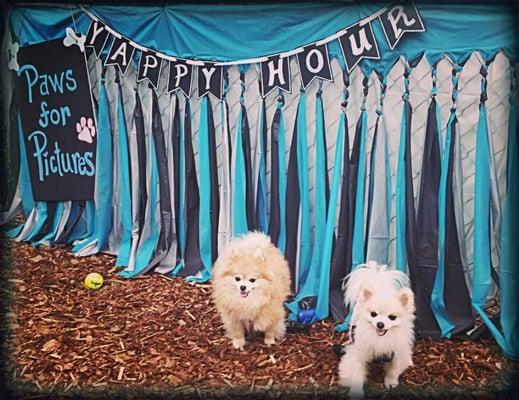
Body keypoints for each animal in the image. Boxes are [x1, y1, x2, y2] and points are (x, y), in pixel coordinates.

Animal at [340, 260, 416, 396]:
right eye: (373, 314)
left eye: (392, 317)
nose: (380, 324)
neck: (380, 339)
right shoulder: (358, 353)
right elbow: (356, 374)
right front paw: (356, 392)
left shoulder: (397, 353)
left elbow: (393, 370)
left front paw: (391, 383)